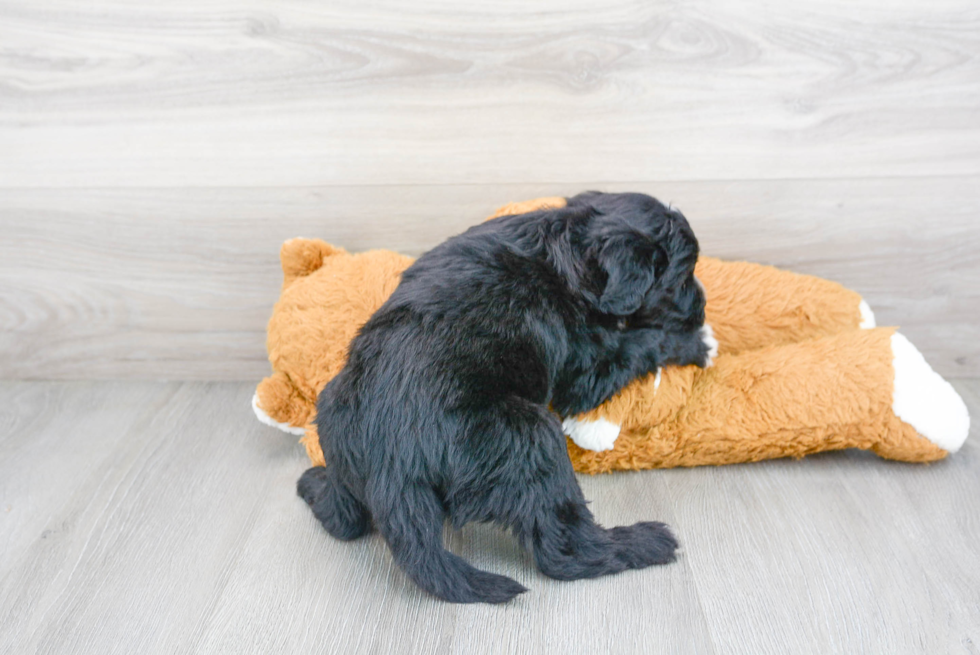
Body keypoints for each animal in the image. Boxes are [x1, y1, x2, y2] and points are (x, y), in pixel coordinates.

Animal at [298, 191, 712, 604]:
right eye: (682, 277)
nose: (703, 305)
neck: (565, 245)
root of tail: (392, 466)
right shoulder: (585, 369)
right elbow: (637, 344)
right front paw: (695, 342)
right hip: (528, 437)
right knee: (567, 549)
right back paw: (645, 542)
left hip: (332, 413)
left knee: (343, 520)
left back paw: (314, 484)